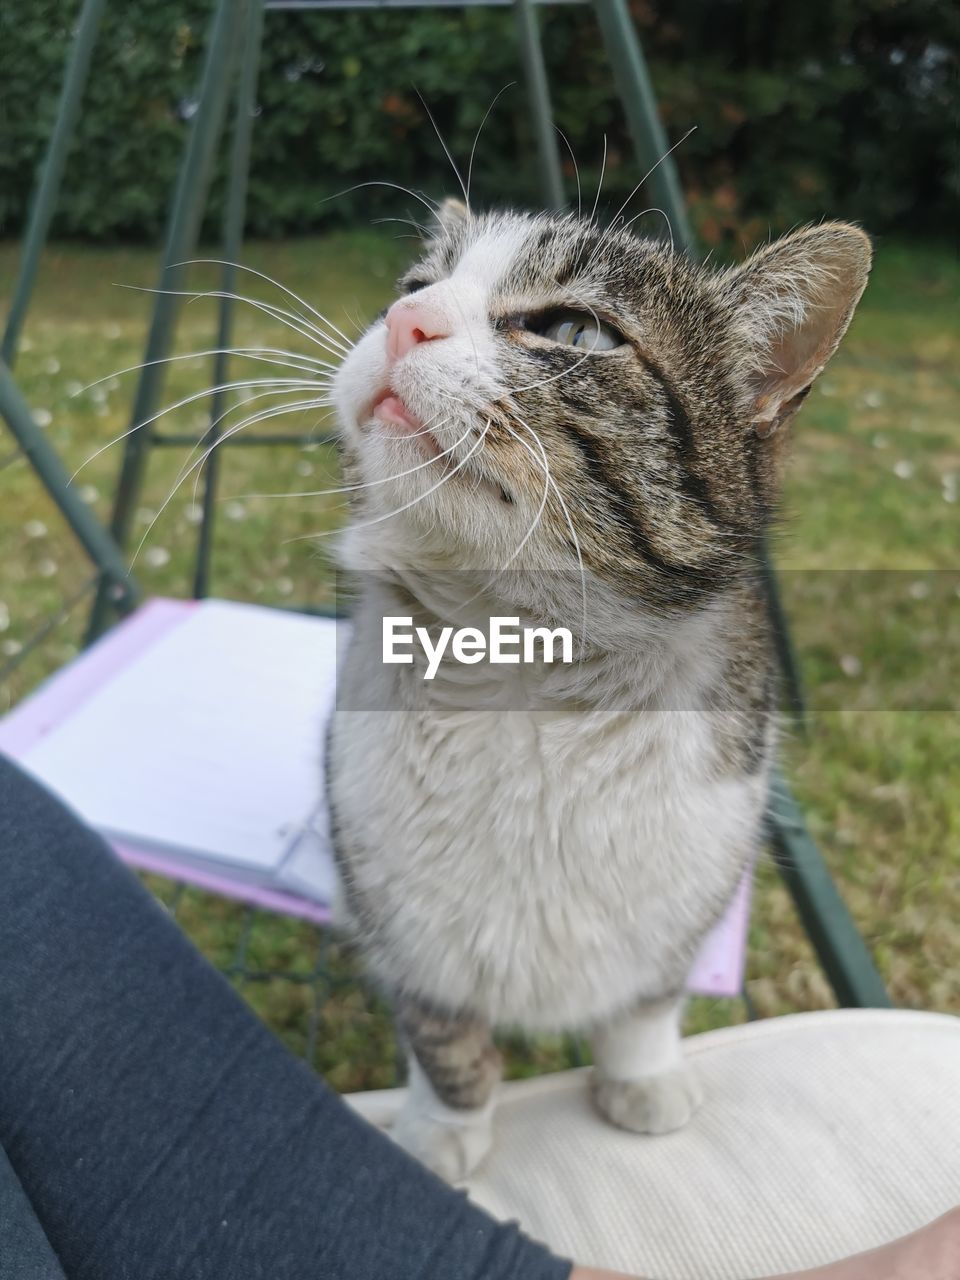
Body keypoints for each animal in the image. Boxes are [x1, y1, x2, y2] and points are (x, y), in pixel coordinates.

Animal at [323, 202, 870, 1177]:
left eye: (575, 331)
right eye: (415, 286)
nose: (404, 320)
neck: (524, 667)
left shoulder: (694, 886)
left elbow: (646, 1001)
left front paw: (642, 1079)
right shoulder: (402, 922)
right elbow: (442, 1033)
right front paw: (444, 1127)